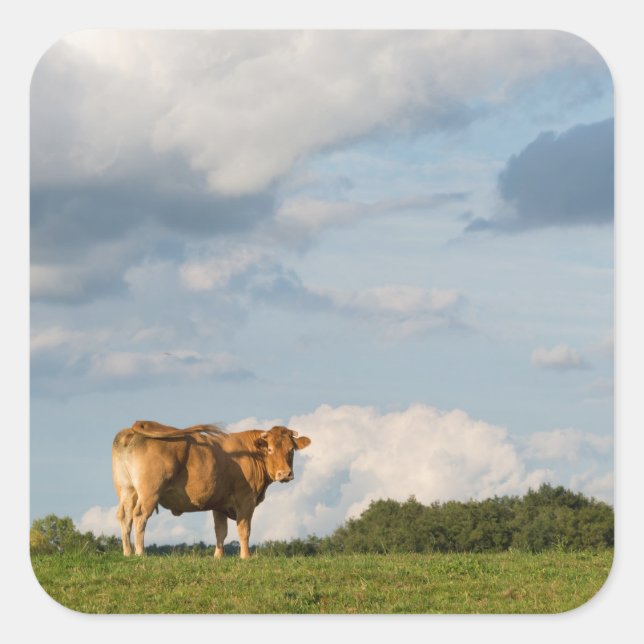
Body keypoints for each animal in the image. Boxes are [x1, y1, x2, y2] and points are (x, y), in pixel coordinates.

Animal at [111, 420, 311, 559]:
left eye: (291, 450)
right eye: (270, 449)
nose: (285, 474)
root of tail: (131, 431)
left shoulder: (219, 504)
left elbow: (220, 531)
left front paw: (218, 557)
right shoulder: (246, 499)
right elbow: (244, 529)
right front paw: (245, 557)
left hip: (127, 489)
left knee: (124, 516)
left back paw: (127, 552)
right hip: (150, 492)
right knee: (139, 515)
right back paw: (140, 552)